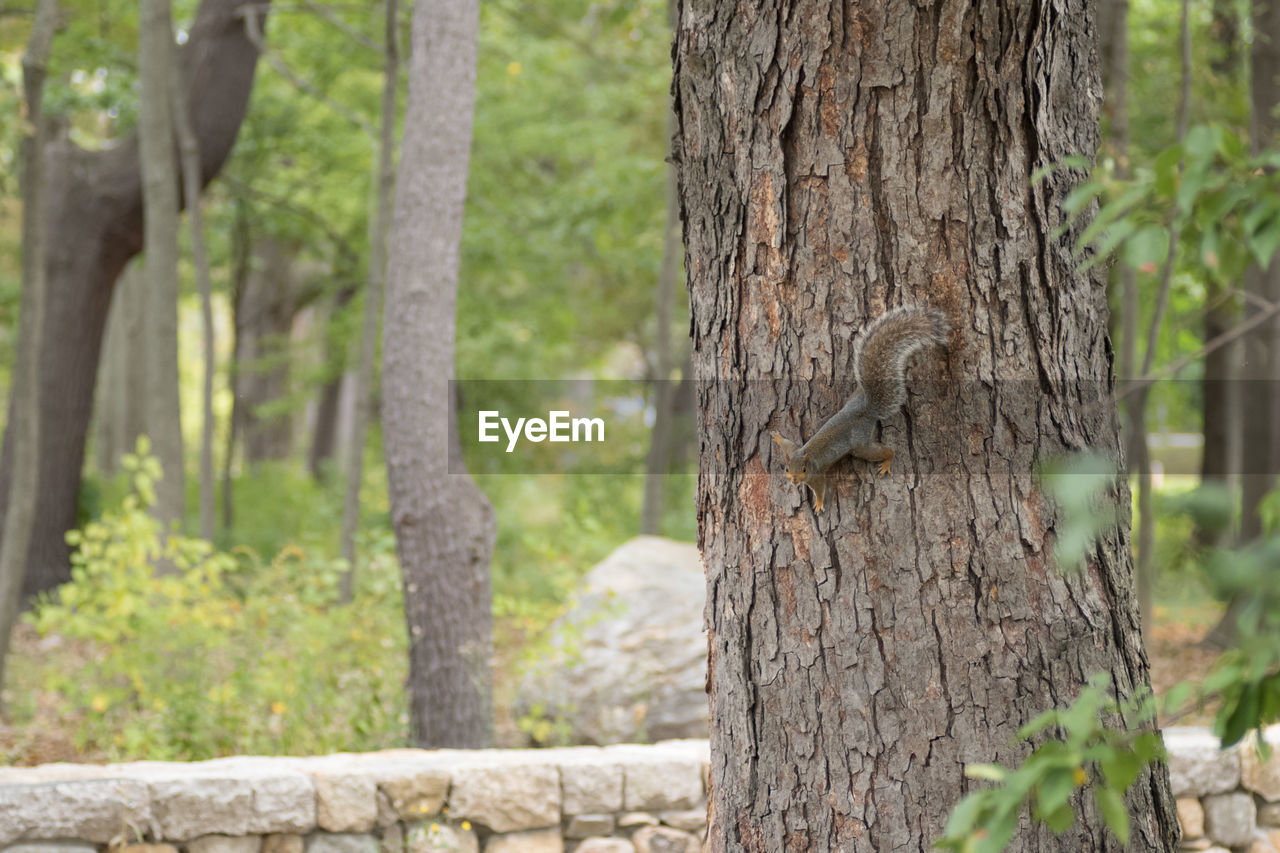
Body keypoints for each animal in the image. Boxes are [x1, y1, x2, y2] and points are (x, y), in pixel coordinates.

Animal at [768, 302, 952, 507]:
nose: (793, 480)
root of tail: (866, 409)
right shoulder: (794, 450)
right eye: (786, 468)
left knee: (883, 451)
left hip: (860, 446)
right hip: (853, 402)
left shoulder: (816, 475)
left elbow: (820, 488)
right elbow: (788, 444)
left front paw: (820, 503)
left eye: (804, 470)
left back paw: (887, 461)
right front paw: (777, 437)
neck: (807, 456)